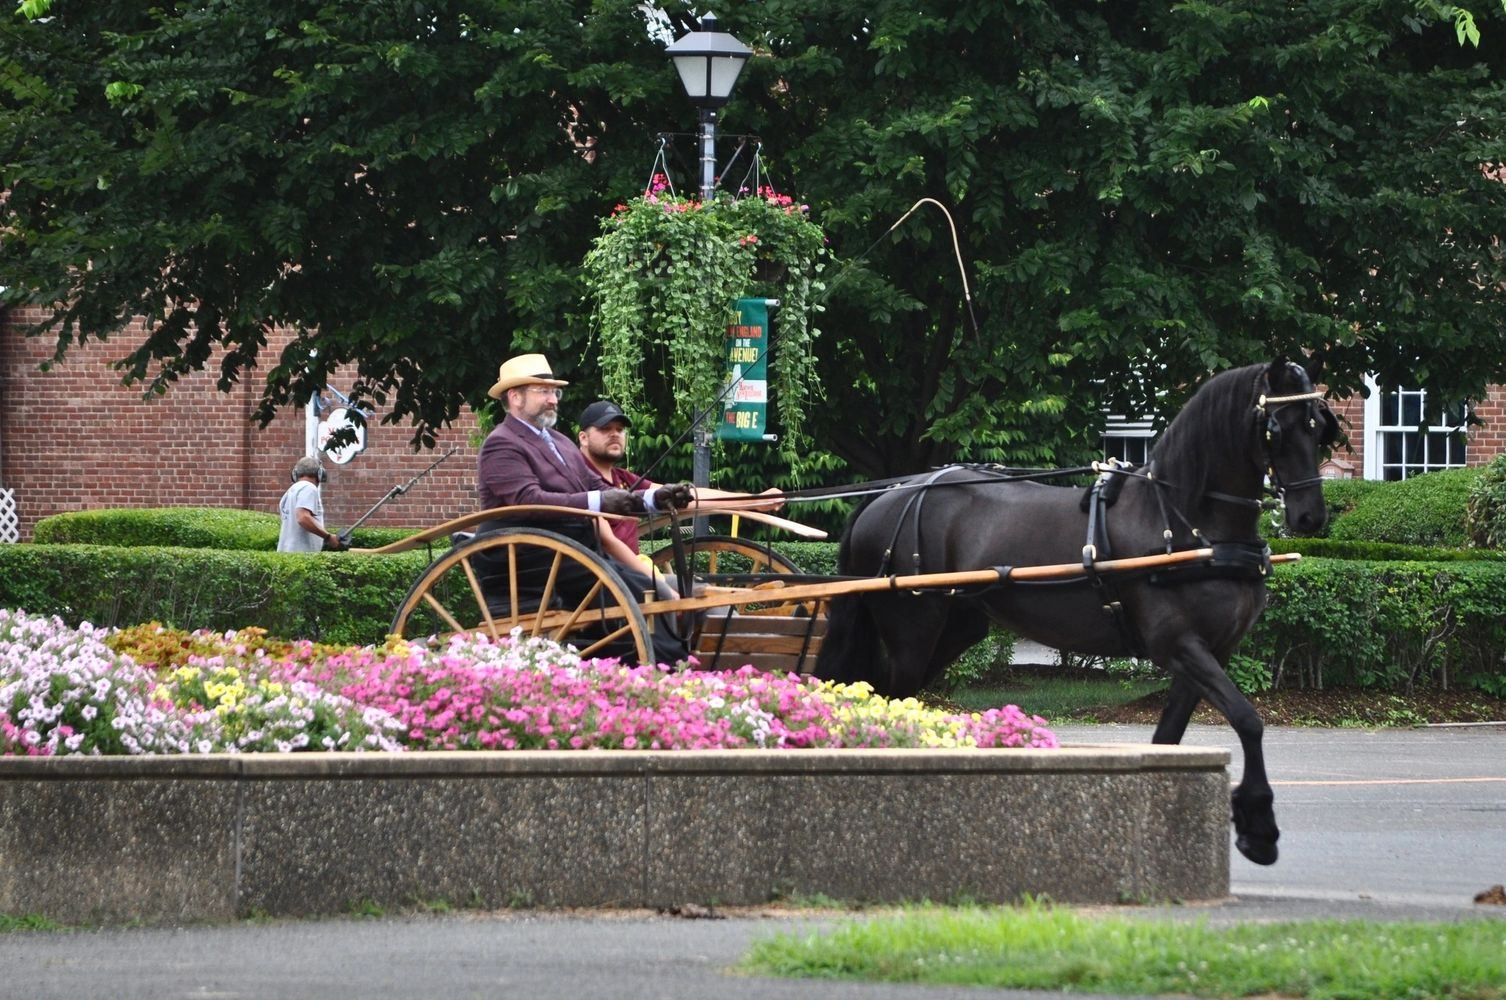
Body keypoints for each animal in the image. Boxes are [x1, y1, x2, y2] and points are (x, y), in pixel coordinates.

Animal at [813, 359, 1338, 866]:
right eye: (1278, 427)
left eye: (1319, 426)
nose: (1310, 516)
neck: (1185, 525)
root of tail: (884, 499)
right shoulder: (1178, 646)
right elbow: (1249, 720)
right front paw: (1259, 828)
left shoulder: (1212, 651)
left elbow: (1171, 734)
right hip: (912, 629)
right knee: (887, 697)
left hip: (956, 628)